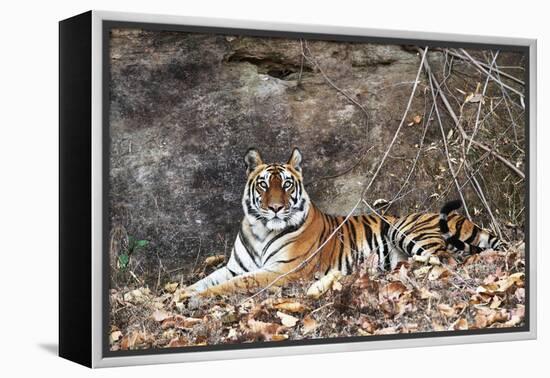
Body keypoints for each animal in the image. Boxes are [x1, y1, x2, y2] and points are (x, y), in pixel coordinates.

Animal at [187, 148, 504, 298]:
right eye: (264, 184)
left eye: (287, 184)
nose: (275, 208)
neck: (261, 230)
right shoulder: (234, 266)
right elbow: (205, 280)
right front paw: (185, 293)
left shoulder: (282, 271)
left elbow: (235, 285)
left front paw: (199, 299)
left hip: (406, 230)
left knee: (447, 260)